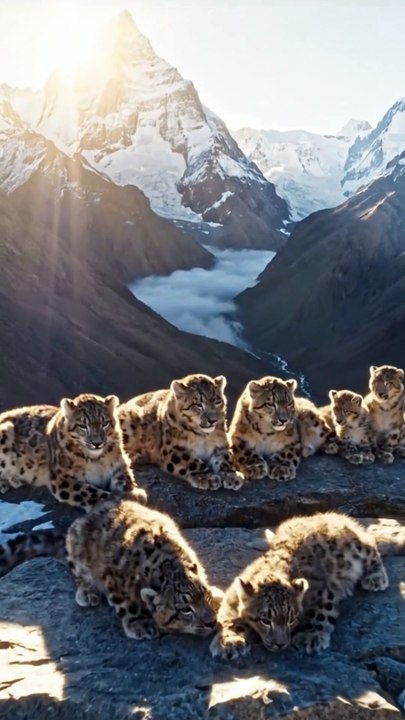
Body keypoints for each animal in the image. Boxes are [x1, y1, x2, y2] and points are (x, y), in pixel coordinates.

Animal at [0, 393, 146, 510]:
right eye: (82, 425)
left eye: (104, 423)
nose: (97, 443)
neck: (97, 461)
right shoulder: (62, 478)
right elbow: (89, 492)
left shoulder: (120, 464)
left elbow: (125, 477)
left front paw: (134, 493)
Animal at [0, 499, 221, 640]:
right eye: (185, 609)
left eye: (205, 595)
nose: (211, 622)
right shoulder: (115, 578)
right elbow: (125, 603)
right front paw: (140, 625)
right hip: (77, 544)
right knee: (77, 573)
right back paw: (87, 592)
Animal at [210, 511, 388, 660]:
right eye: (265, 620)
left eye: (291, 620)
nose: (280, 644)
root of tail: (327, 514)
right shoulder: (232, 595)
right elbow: (227, 617)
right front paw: (230, 641)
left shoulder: (322, 589)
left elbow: (322, 612)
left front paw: (310, 637)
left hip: (356, 547)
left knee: (371, 545)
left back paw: (376, 577)